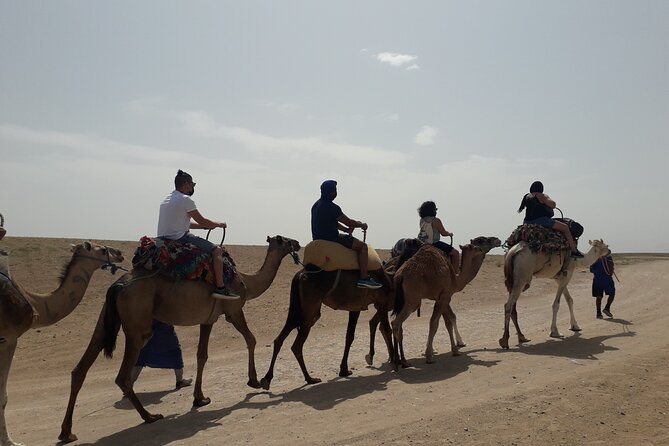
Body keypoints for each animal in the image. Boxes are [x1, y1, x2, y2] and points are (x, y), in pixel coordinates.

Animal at [0, 241, 124, 446]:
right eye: (102, 250)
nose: (120, 253)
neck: (35, 303)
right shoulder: (9, 339)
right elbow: (3, 396)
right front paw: (10, 442)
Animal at [58, 235, 300, 443]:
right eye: (284, 240)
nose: (297, 243)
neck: (247, 283)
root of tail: (118, 284)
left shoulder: (208, 319)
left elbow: (202, 355)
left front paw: (200, 398)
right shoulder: (233, 311)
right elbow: (251, 339)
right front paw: (255, 380)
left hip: (106, 320)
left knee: (80, 369)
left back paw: (66, 432)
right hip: (138, 326)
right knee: (122, 376)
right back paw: (150, 416)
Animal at [260, 264, 394, 390]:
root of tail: (299, 275)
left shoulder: (356, 307)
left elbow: (349, 336)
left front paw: (344, 370)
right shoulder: (382, 302)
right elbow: (387, 329)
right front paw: (394, 362)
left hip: (299, 309)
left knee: (280, 338)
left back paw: (267, 379)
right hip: (310, 310)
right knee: (296, 345)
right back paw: (310, 378)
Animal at [391, 236, 502, 367]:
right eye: (480, 241)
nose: (498, 240)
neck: (456, 279)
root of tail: (400, 275)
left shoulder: (440, 298)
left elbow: (447, 321)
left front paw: (453, 348)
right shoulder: (445, 296)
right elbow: (437, 323)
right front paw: (432, 355)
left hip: (404, 301)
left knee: (397, 324)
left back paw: (397, 360)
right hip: (413, 300)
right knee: (396, 323)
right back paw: (401, 361)